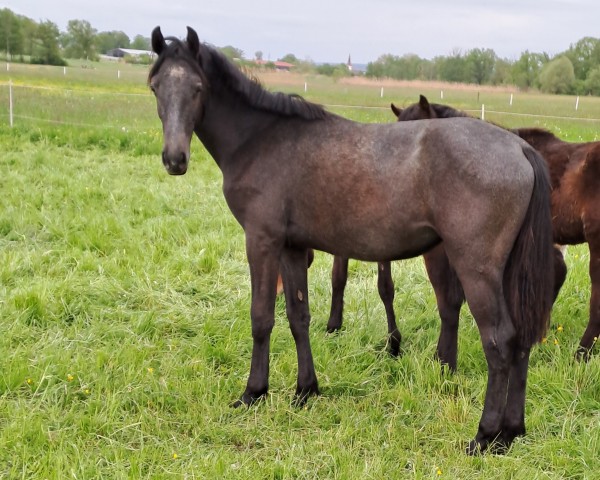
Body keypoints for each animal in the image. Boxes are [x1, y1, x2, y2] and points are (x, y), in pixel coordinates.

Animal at [148, 27, 556, 454]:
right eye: (155, 86)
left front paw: (253, 392)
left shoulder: (261, 241)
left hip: (476, 269)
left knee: (499, 341)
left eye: (197, 87)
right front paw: (305, 390)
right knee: (520, 339)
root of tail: (519, 147)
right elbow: (298, 316)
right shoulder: (292, 249)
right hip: (508, 272)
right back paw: (512, 430)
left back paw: (485, 435)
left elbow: (261, 317)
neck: (262, 139)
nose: (174, 159)